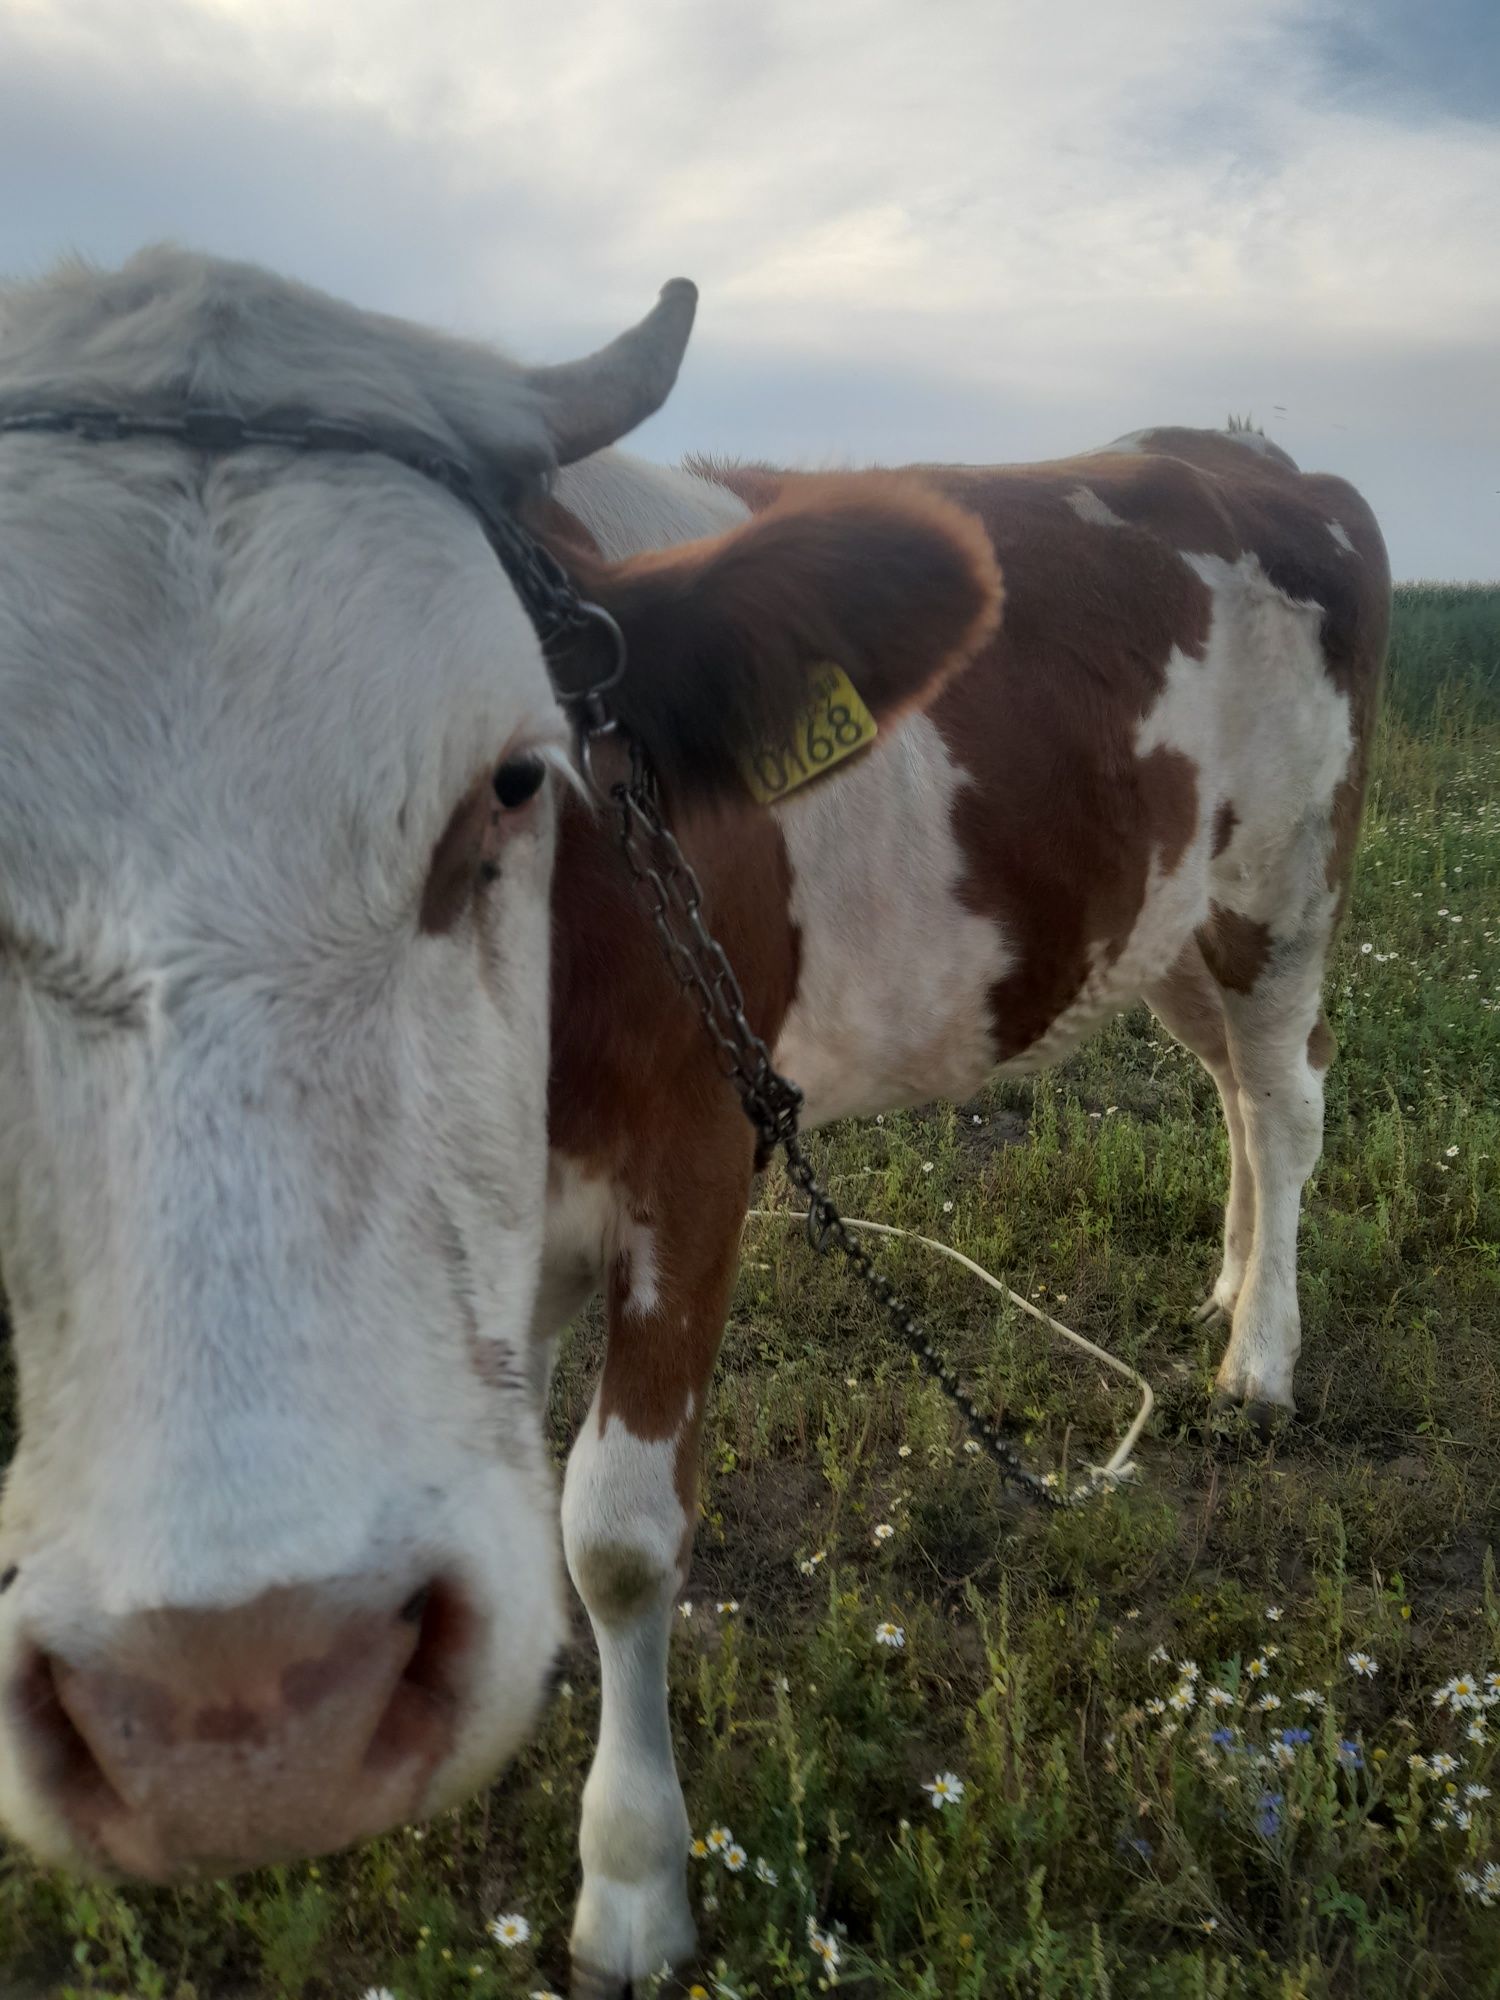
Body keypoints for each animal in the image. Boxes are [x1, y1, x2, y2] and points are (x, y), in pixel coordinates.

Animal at [0, 254, 1400, 2000]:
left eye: (514, 779)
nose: (225, 1713)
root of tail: (1250, 453)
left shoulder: (702, 1147)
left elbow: (615, 1532)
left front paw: (632, 1887)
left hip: (1284, 887)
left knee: (1287, 1098)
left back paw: (1258, 1360)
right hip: (1161, 921)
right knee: (1227, 1091)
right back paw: (1225, 1285)